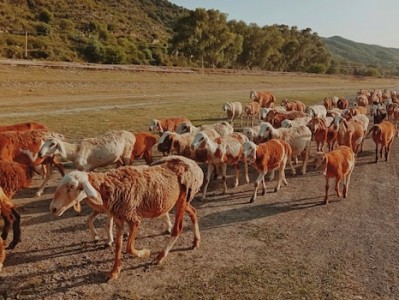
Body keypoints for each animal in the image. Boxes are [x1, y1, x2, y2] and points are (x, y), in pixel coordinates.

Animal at [50, 156, 205, 280]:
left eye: (71, 186)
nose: (53, 209)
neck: (110, 187)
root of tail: (193, 163)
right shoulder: (119, 218)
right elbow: (119, 245)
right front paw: (114, 272)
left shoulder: (133, 218)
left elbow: (129, 247)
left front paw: (144, 253)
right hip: (180, 200)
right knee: (193, 212)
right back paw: (196, 241)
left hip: (183, 197)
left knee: (178, 228)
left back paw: (160, 256)